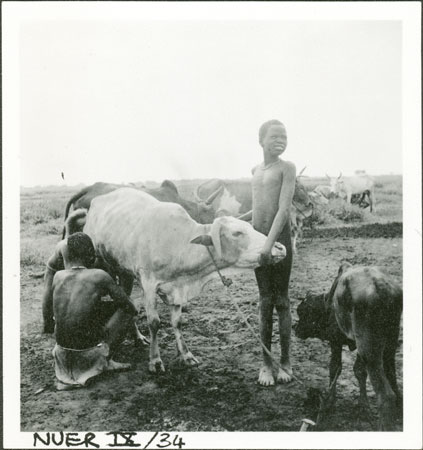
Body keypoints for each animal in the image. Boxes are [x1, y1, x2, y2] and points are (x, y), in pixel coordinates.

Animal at [296, 264, 402, 432]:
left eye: (302, 312)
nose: (295, 328)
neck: (329, 303)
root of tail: (382, 288)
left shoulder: (336, 342)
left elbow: (335, 368)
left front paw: (330, 402)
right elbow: (359, 371)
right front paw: (363, 406)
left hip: (369, 349)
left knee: (385, 395)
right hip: (390, 343)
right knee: (392, 377)